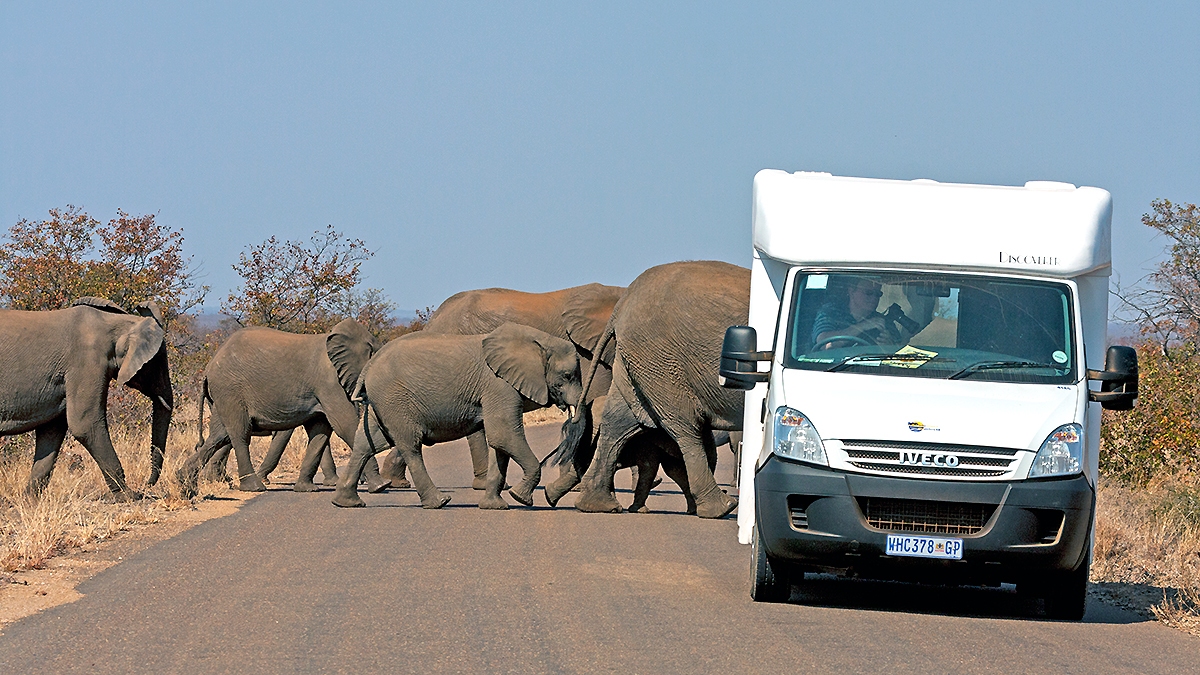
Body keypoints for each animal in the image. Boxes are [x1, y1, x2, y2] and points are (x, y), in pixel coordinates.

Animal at [0, 297, 173, 499]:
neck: (118, 321)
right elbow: (84, 425)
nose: (147, 484)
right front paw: (129, 496)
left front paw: (29, 501)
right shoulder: (87, 362)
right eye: (158, 364)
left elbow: (52, 431)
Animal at [178, 318, 385, 495]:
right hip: (230, 389)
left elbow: (321, 431)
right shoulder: (329, 382)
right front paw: (380, 486)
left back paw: (185, 480)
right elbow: (345, 425)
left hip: (224, 395)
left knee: (219, 436)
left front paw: (306, 489)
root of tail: (209, 366)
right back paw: (254, 487)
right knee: (239, 433)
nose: (364, 481)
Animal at [331, 322, 583, 510]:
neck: (539, 340)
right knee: (410, 445)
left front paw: (495, 506)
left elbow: (499, 443)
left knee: (367, 443)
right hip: (395, 399)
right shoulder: (499, 385)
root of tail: (369, 365)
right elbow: (503, 434)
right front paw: (520, 498)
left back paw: (346, 503)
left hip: (382, 402)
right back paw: (439, 502)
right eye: (567, 376)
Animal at [553, 260, 749, 519]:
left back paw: (596, 505)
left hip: (640, 360)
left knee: (619, 421)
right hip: (662, 361)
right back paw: (722, 508)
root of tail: (624, 301)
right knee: (685, 427)